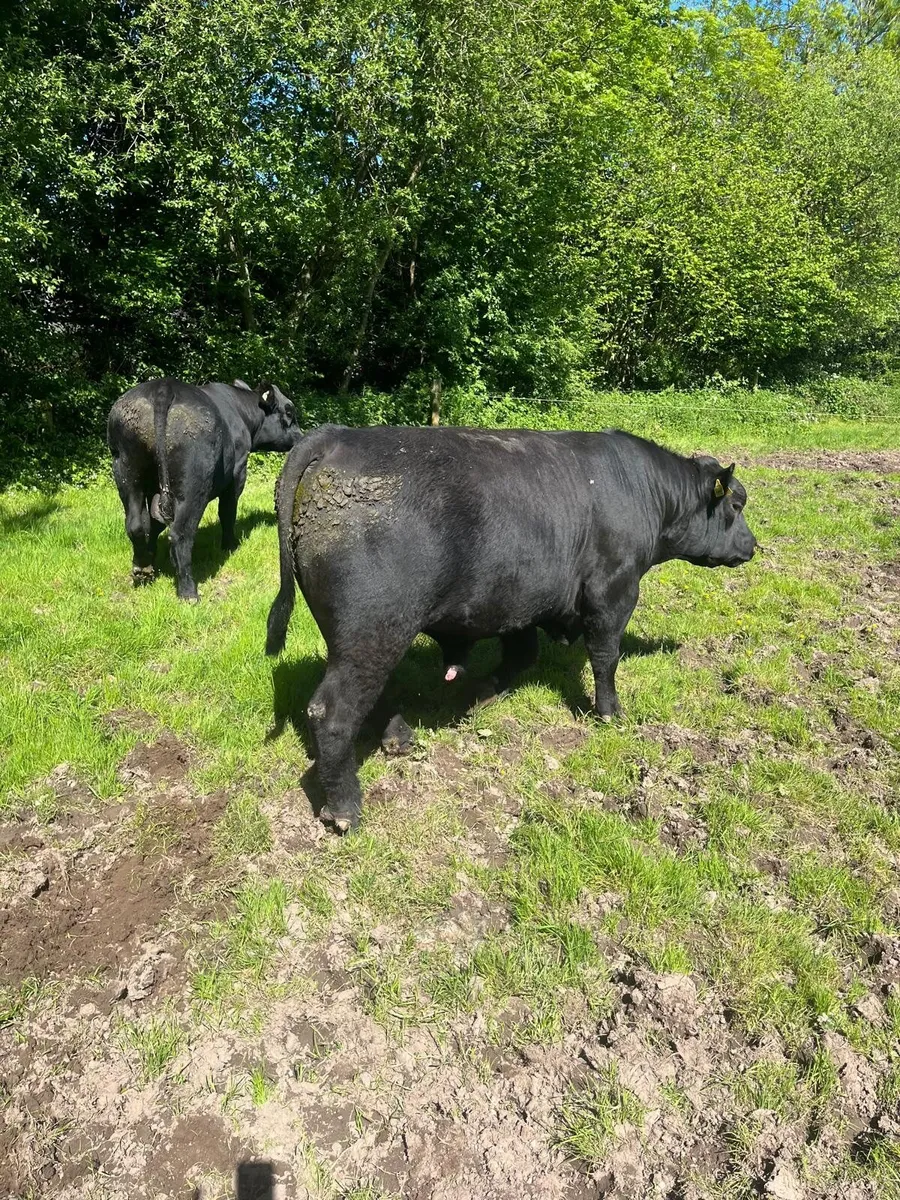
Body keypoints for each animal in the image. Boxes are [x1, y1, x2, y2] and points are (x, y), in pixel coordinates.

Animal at [108, 377, 302, 600]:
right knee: (180, 533)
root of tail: (163, 386)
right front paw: (230, 545)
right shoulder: (237, 474)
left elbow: (153, 525)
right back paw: (188, 592)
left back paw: (141, 568)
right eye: (289, 412)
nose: (300, 436)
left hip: (127, 472)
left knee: (136, 525)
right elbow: (227, 512)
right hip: (194, 483)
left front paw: (151, 558)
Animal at [265, 424, 756, 832]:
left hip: (370, 637)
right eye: (736, 504)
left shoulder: (520, 603)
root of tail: (336, 435)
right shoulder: (613, 590)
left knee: (373, 693)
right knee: (332, 711)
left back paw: (399, 737)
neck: (641, 491)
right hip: (373, 629)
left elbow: (523, 654)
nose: (753, 546)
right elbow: (605, 657)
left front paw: (482, 695)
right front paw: (610, 712)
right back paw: (345, 808)